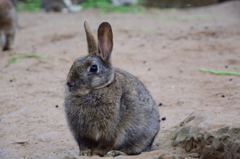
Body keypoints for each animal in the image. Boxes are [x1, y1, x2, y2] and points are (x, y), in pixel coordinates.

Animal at [64, 20, 160, 157]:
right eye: (74, 62)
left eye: (93, 68)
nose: (69, 83)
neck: (98, 89)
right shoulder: (80, 132)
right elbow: (83, 143)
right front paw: (85, 153)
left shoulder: (111, 130)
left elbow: (107, 143)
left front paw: (98, 152)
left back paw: (115, 152)